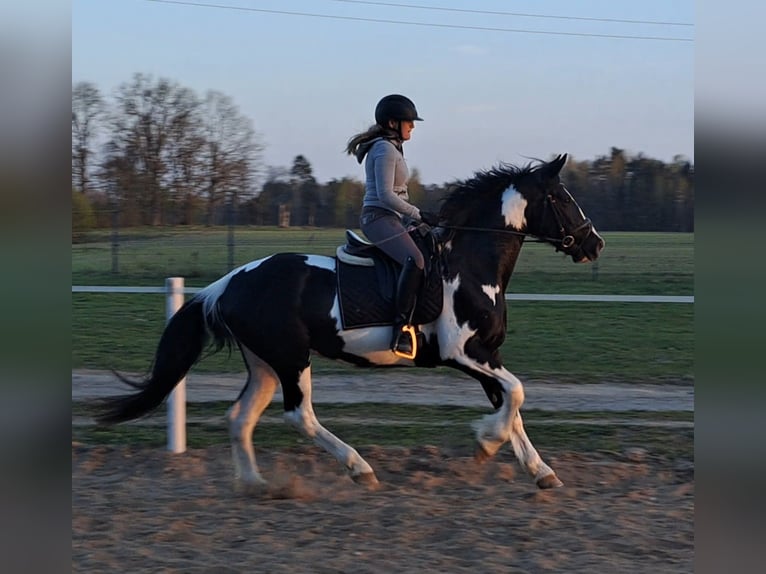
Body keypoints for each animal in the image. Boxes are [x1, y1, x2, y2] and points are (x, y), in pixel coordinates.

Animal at [96, 153, 605, 491]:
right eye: (561, 197)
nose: (594, 244)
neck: (468, 264)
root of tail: (229, 282)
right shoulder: (464, 354)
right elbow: (516, 395)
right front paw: (485, 443)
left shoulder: (487, 356)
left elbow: (512, 404)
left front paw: (539, 471)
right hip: (291, 358)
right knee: (299, 415)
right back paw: (359, 469)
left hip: (264, 363)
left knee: (240, 418)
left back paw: (258, 485)